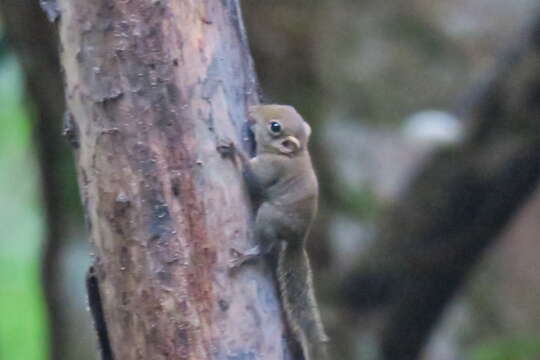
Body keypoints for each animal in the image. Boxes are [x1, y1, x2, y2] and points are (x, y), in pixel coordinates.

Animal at [218, 103, 330, 360]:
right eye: (288, 107)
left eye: (275, 127)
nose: (252, 110)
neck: (291, 154)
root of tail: (297, 240)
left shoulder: (271, 168)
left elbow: (254, 180)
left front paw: (234, 150)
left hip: (268, 215)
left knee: (266, 247)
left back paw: (247, 255)